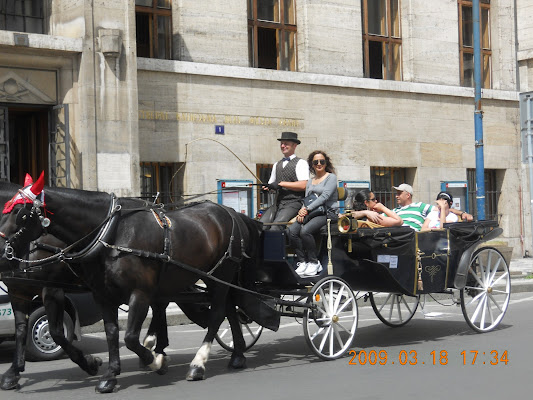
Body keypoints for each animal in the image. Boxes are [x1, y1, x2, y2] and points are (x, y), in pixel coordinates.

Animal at [0, 182, 262, 394]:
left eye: (20, 213)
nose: (3, 254)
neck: (112, 233)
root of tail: (230, 213)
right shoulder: (100, 295)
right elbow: (111, 333)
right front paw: (110, 374)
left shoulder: (137, 293)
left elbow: (128, 338)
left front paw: (154, 361)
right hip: (209, 278)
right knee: (229, 310)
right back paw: (237, 354)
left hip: (220, 274)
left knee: (217, 313)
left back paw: (198, 363)